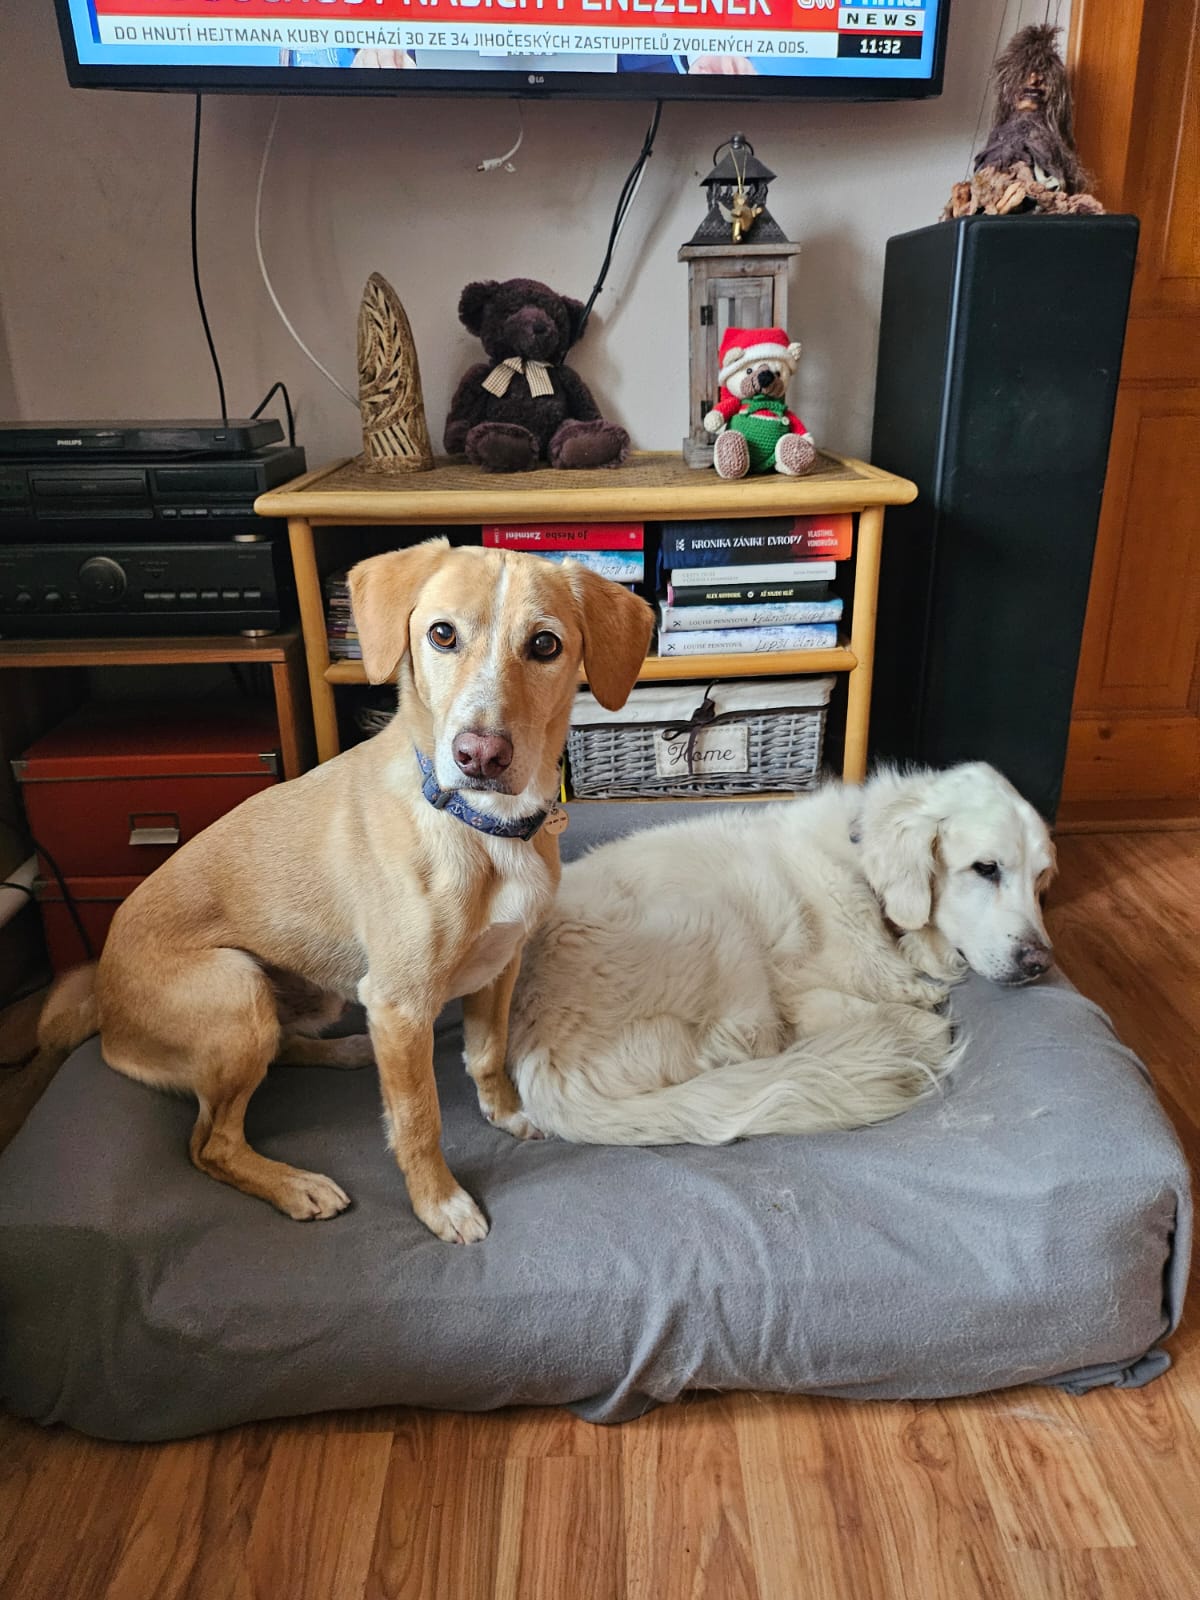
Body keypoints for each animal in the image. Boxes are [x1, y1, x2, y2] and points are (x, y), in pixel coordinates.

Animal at [34, 539, 653, 1241]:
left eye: (546, 645)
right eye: (442, 634)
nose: (480, 755)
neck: (483, 826)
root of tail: (103, 1010)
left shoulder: (501, 966)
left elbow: (487, 1056)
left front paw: (504, 1113)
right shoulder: (400, 1005)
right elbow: (418, 1119)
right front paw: (440, 1204)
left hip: (301, 999)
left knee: (278, 1055)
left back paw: (350, 1051)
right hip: (235, 988)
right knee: (209, 1144)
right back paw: (296, 1185)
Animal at [506, 763, 1056, 1146]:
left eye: (1041, 879)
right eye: (985, 868)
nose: (1039, 962)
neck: (861, 872)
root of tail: (541, 1071)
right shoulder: (802, 990)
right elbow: (894, 1010)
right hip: (721, 931)